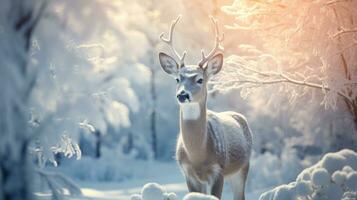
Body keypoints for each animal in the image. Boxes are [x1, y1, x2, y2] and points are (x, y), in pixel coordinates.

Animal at [157, 16, 252, 200]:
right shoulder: (188, 174)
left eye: (200, 79)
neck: (198, 155)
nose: (182, 95)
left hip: (243, 166)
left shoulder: (218, 170)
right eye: (177, 79)